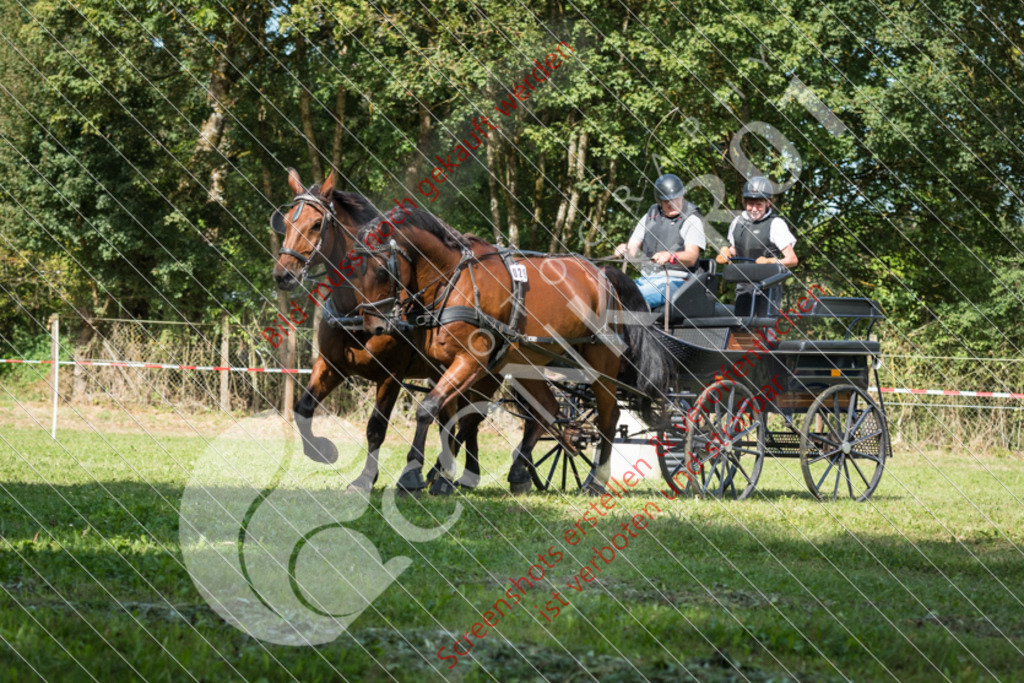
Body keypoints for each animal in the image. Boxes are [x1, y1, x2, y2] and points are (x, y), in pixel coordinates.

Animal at [272, 167, 495, 493]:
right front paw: (323, 451)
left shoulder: (391, 375)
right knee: (452, 419)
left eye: (315, 224)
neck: (357, 310)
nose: (284, 274)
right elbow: (303, 409)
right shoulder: (331, 365)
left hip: (484, 376)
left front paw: (365, 479)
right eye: (287, 221)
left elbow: (376, 428)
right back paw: (448, 475)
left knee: (470, 421)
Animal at [348, 210, 675, 493]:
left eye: (381, 270)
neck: (453, 281)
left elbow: (430, 409)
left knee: (609, 415)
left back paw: (597, 480)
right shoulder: (441, 366)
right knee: (547, 409)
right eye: (353, 271)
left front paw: (414, 476)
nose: (373, 326)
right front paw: (441, 477)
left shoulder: (473, 361)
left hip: (601, 361)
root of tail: (603, 273)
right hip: (528, 361)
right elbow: (450, 417)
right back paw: (519, 471)